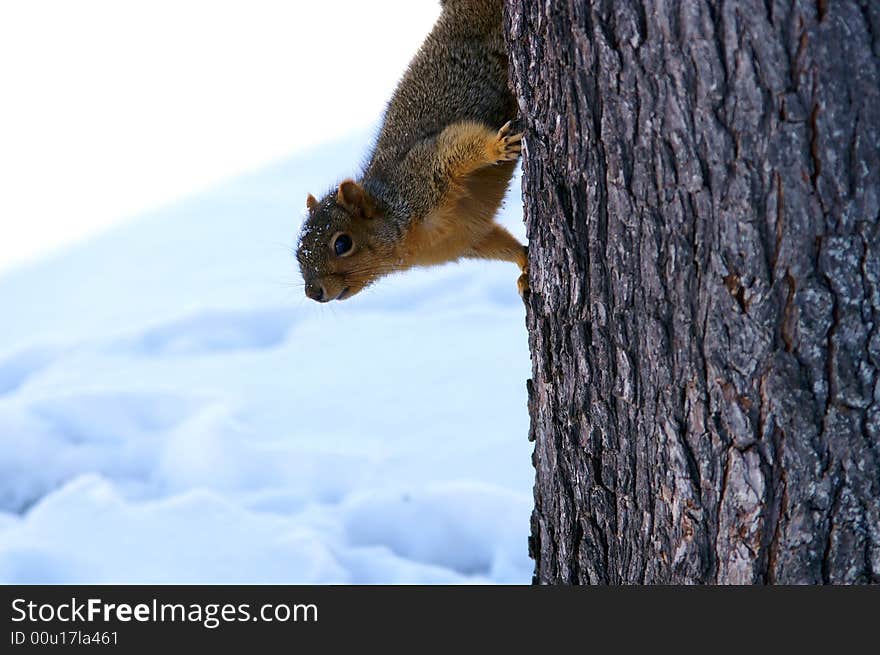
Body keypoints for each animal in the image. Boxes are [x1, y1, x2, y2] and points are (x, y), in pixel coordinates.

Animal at [300, 0, 524, 302]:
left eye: (342, 243)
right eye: (300, 254)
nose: (313, 292)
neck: (413, 243)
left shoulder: (422, 171)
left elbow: (457, 143)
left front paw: (498, 146)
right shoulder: (467, 238)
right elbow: (499, 243)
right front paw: (525, 265)